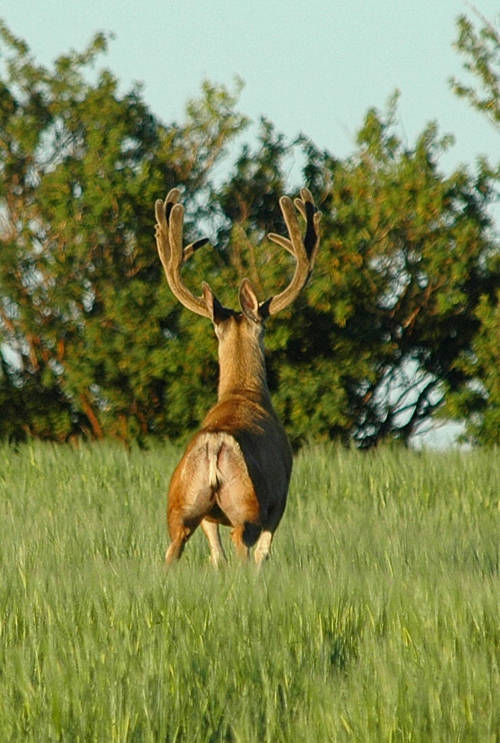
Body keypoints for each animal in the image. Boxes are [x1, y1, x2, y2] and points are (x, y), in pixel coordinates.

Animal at [154, 185, 322, 564]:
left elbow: (216, 556)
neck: (241, 392)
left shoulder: (208, 518)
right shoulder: (279, 501)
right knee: (244, 548)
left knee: (176, 550)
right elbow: (263, 554)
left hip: (181, 505)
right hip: (248, 505)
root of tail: (215, 445)